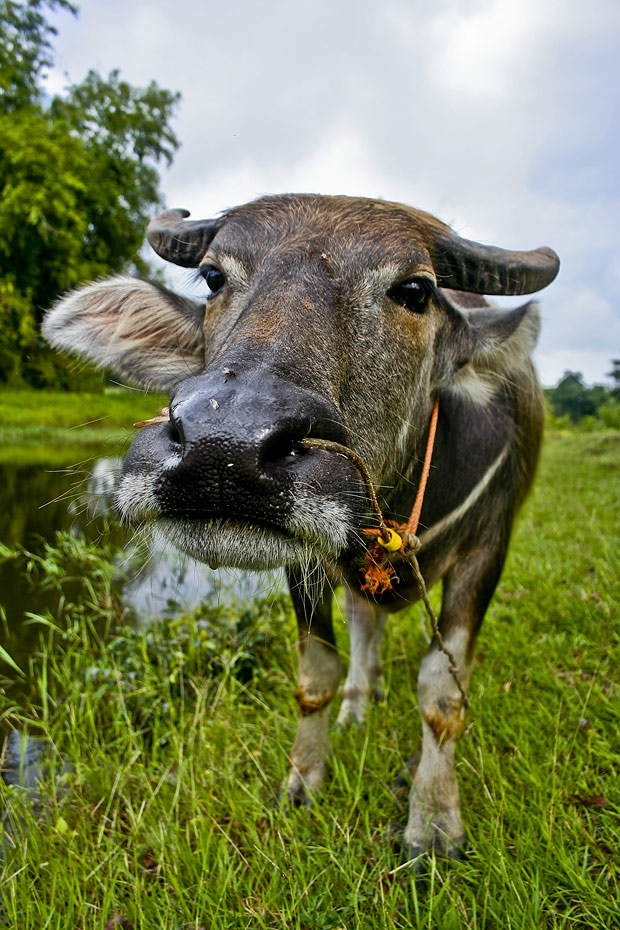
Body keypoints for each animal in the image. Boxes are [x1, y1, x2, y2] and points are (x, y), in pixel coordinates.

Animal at [41, 194, 560, 864]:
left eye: (415, 290)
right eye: (213, 276)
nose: (222, 449)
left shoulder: (487, 549)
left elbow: (443, 697)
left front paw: (434, 823)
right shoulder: (303, 562)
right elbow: (316, 675)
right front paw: (305, 777)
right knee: (365, 623)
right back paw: (358, 707)